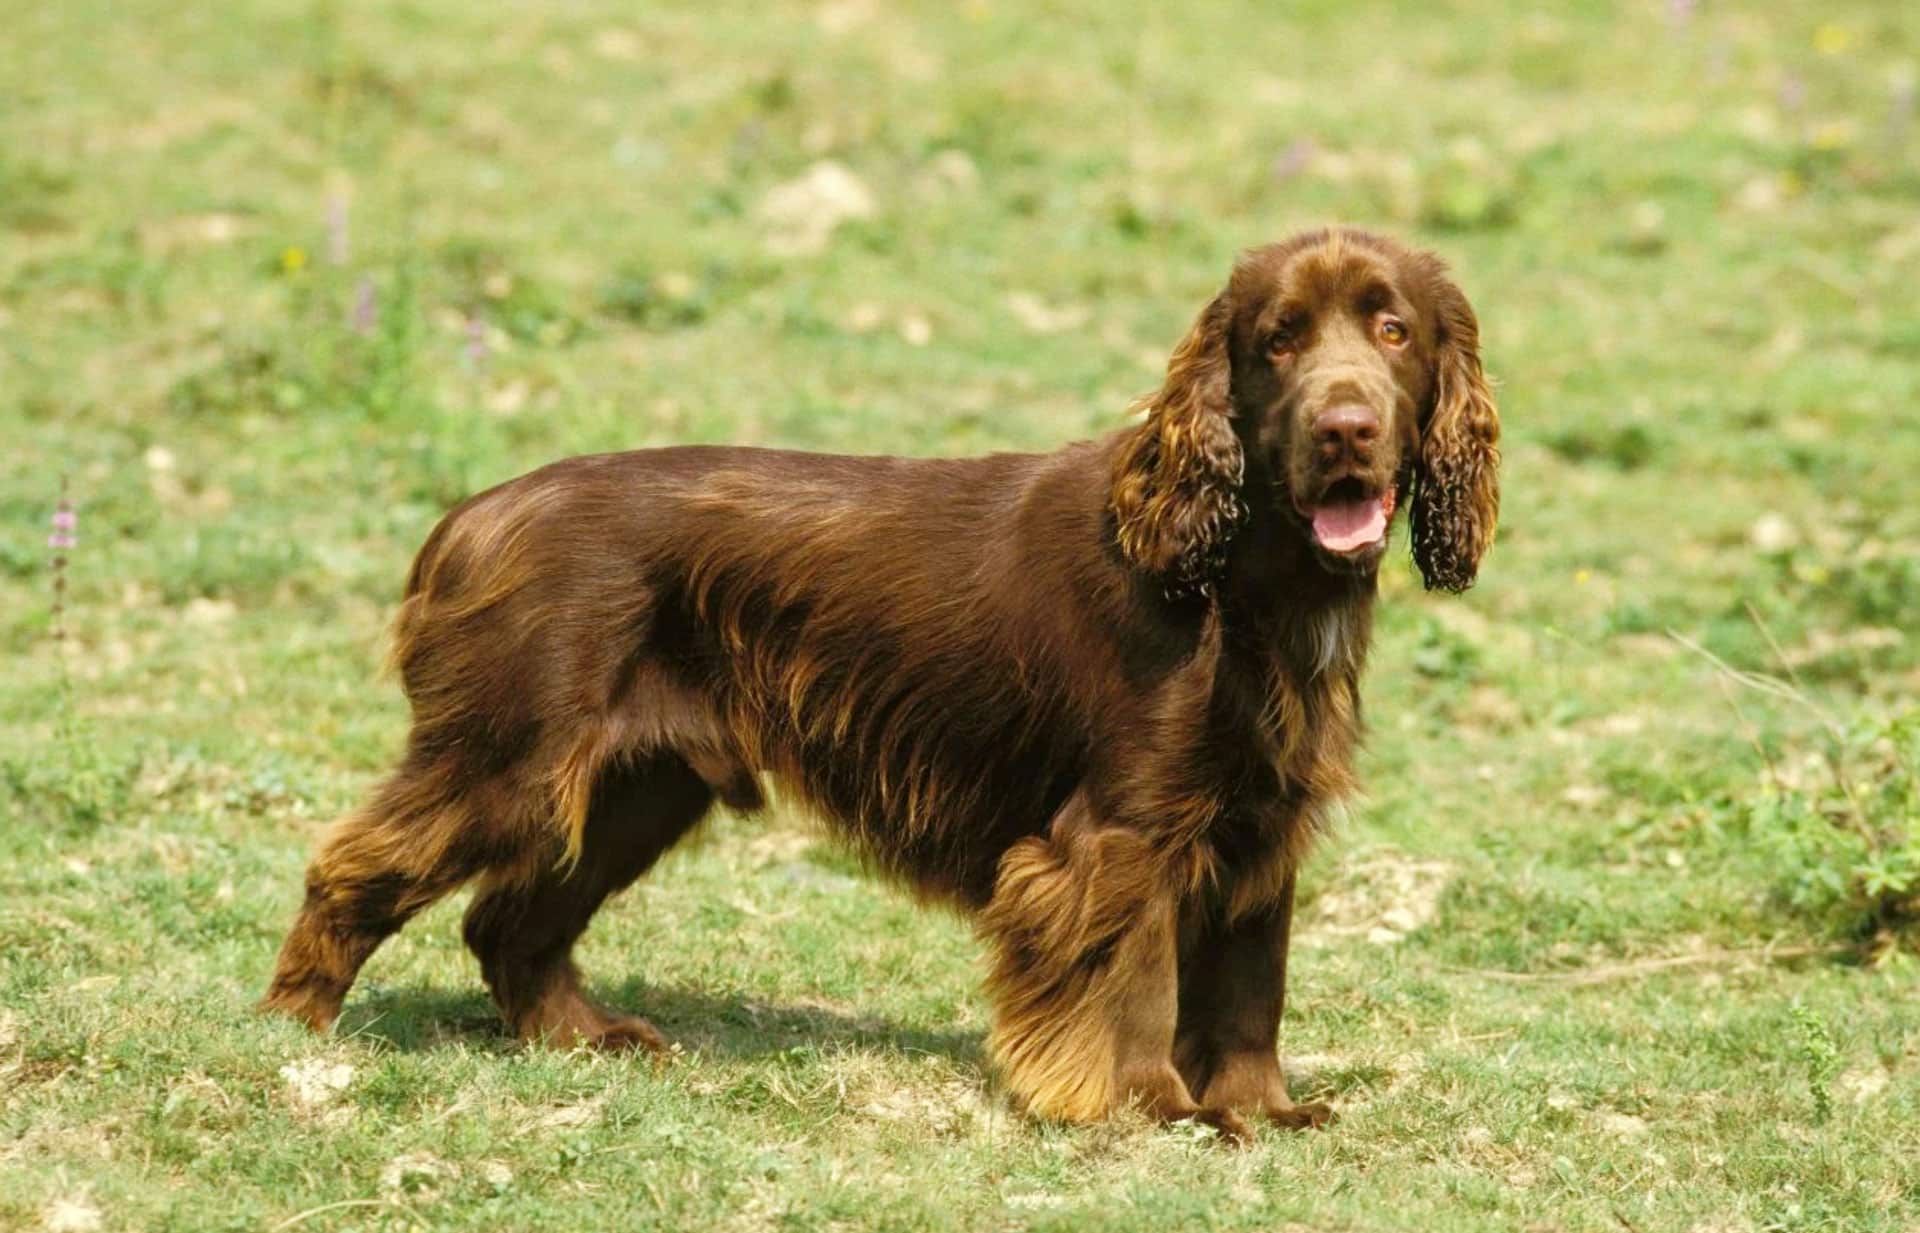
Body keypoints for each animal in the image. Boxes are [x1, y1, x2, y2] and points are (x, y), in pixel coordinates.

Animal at [266, 228, 1497, 1136]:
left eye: (1392, 329)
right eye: (1277, 341)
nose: (1346, 429)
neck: (1238, 573)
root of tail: (467, 520)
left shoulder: (1260, 818)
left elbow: (1249, 984)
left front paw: (1262, 1110)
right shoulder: (1122, 833)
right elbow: (1136, 978)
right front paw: (1153, 1108)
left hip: (638, 786)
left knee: (510, 920)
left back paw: (589, 1037)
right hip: (511, 759)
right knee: (355, 867)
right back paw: (294, 1029)